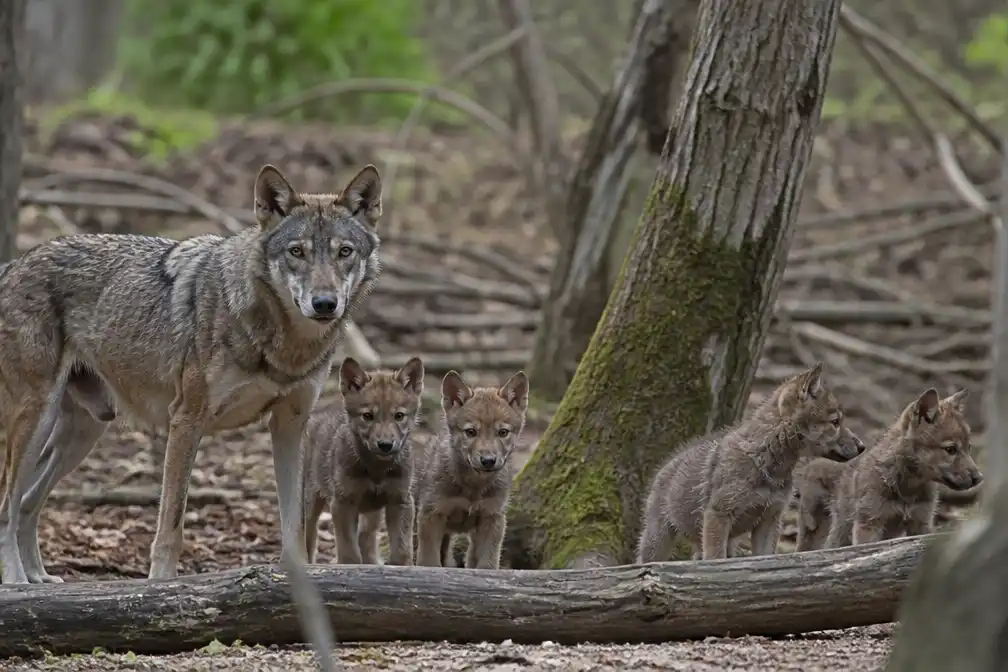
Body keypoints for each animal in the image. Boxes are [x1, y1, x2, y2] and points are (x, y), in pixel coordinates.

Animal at [0, 163, 383, 584]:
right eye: (297, 252)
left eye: (344, 252)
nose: (324, 303)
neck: (285, 347)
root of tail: (13, 264)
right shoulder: (186, 419)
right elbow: (171, 525)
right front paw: (161, 586)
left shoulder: (289, 425)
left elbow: (293, 526)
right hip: (37, 421)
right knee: (7, 505)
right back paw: (17, 581)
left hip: (84, 433)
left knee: (28, 502)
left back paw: (39, 578)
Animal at [302, 356, 424, 566]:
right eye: (367, 416)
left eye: (399, 416)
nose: (385, 445)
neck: (377, 469)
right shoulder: (343, 503)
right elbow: (349, 553)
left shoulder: (400, 501)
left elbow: (401, 550)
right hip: (310, 500)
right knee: (307, 536)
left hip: (372, 512)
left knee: (366, 537)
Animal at [414, 369, 528, 569]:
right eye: (471, 432)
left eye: (503, 432)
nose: (488, 461)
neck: (473, 486)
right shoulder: (431, 515)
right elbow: (429, 562)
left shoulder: (491, 518)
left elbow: (487, 564)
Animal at [636, 362, 865, 563]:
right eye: (835, 422)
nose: (862, 446)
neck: (766, 463)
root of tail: (666, 466)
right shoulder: (718, 515)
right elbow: (715, 559)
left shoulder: (770, 520)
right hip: (658, 539)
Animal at [821, 388, 981, 549]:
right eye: (951, 449)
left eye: (968, 447)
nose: (978, 478)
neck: (909, 488)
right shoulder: (869, 525)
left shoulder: (921, 524)